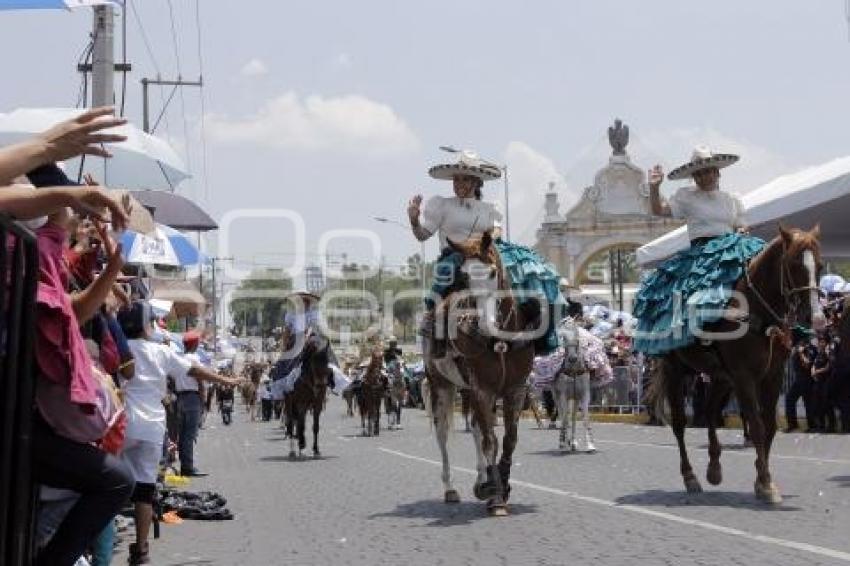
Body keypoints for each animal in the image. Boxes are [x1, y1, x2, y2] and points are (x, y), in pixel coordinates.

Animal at [424, 234, 536, 520]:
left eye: (493, 272)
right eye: (464, 277)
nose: (483, 324)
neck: (500, 342)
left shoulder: (516, 389)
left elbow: (509, 440)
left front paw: (501, 484)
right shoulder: (483, 389)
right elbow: (490, 442)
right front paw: (496, 497)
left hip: (468, 391)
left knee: (474, 427)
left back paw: (481, 479)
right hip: (442, 387)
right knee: (443, 434)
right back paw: (451, 488)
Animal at [648, 226, 820, 506]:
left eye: (821, 265)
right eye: (794, 264)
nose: (814, 316)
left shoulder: (772, 376)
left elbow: (769, 426)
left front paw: (761, 479)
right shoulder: (744, 377)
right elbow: (758, 426)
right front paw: (766, 483)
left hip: (720, 378)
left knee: (709, 412)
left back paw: (714, 468)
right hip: (677, 371)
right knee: (679, 423)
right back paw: (690, 477)